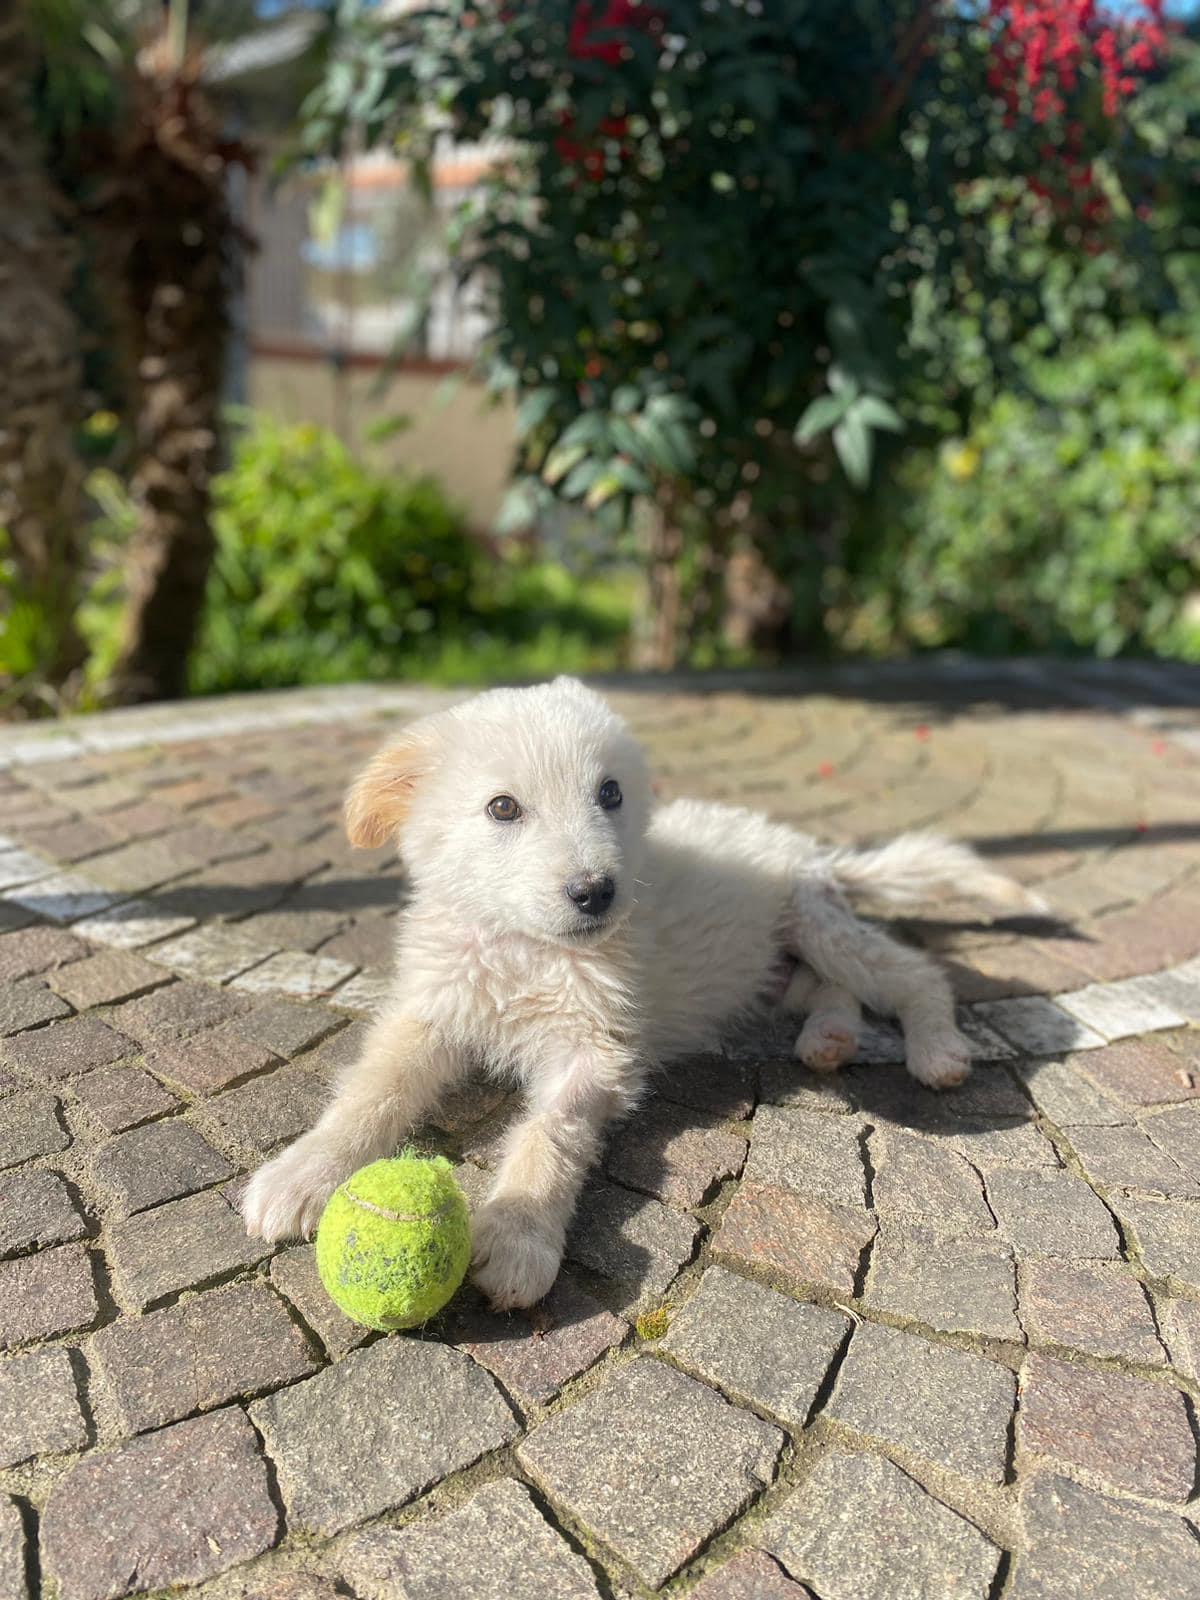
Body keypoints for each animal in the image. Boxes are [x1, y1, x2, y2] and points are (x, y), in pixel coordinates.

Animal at [241, 675, 1036, 1312]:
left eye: (610, 793)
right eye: (502, 808)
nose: (597, 893)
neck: (526, 950)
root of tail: (807, 848)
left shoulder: (596, 1053)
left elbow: (549, 1135)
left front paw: (519, 1237)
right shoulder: (433, 1011)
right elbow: (372, 1091)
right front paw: (305, 1173)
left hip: (815, 922)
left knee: (912, 974)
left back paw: (938, 1050)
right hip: (780, 965)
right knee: (833, 988)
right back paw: (830, 1039)